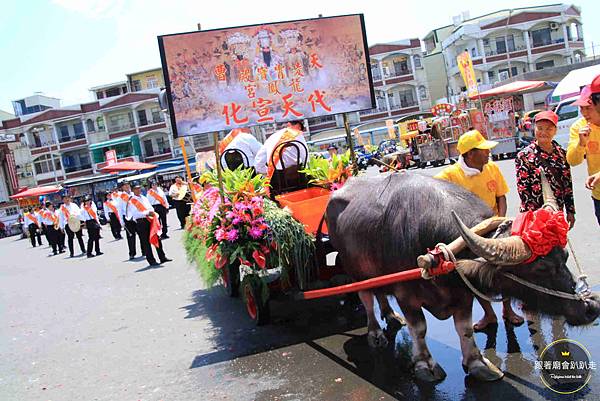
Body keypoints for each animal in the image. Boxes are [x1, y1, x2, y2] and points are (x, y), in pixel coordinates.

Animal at [328, 172, 600, 382]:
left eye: (565, 255)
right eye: (540, 268)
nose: (591, 306)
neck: (436, 254)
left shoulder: (462, 293)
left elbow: (465, 329)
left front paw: (477, 363)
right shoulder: (407, 294)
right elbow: (419, 329)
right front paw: (425, 365)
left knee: (380, 294)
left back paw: (390, 315)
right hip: (354, 271)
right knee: (366, 298)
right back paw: (375, 333)